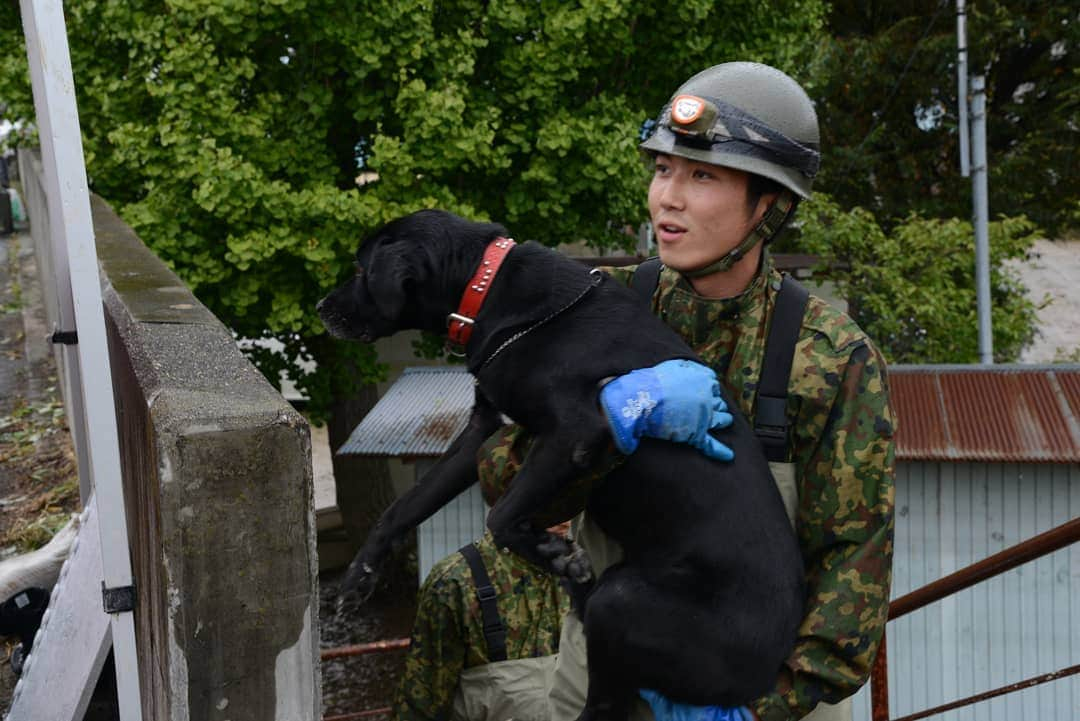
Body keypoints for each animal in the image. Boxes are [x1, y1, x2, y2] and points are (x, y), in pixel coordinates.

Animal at [315, 208, 807, 716]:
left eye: (360, 270)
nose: (320, 308)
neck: (487, 286)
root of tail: (770, 668)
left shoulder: (577, 430)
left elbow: (502, 515)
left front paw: (555, 554)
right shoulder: (481, 432)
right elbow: (407, 505)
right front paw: (359, 576)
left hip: (618, 601)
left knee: (604, 702)